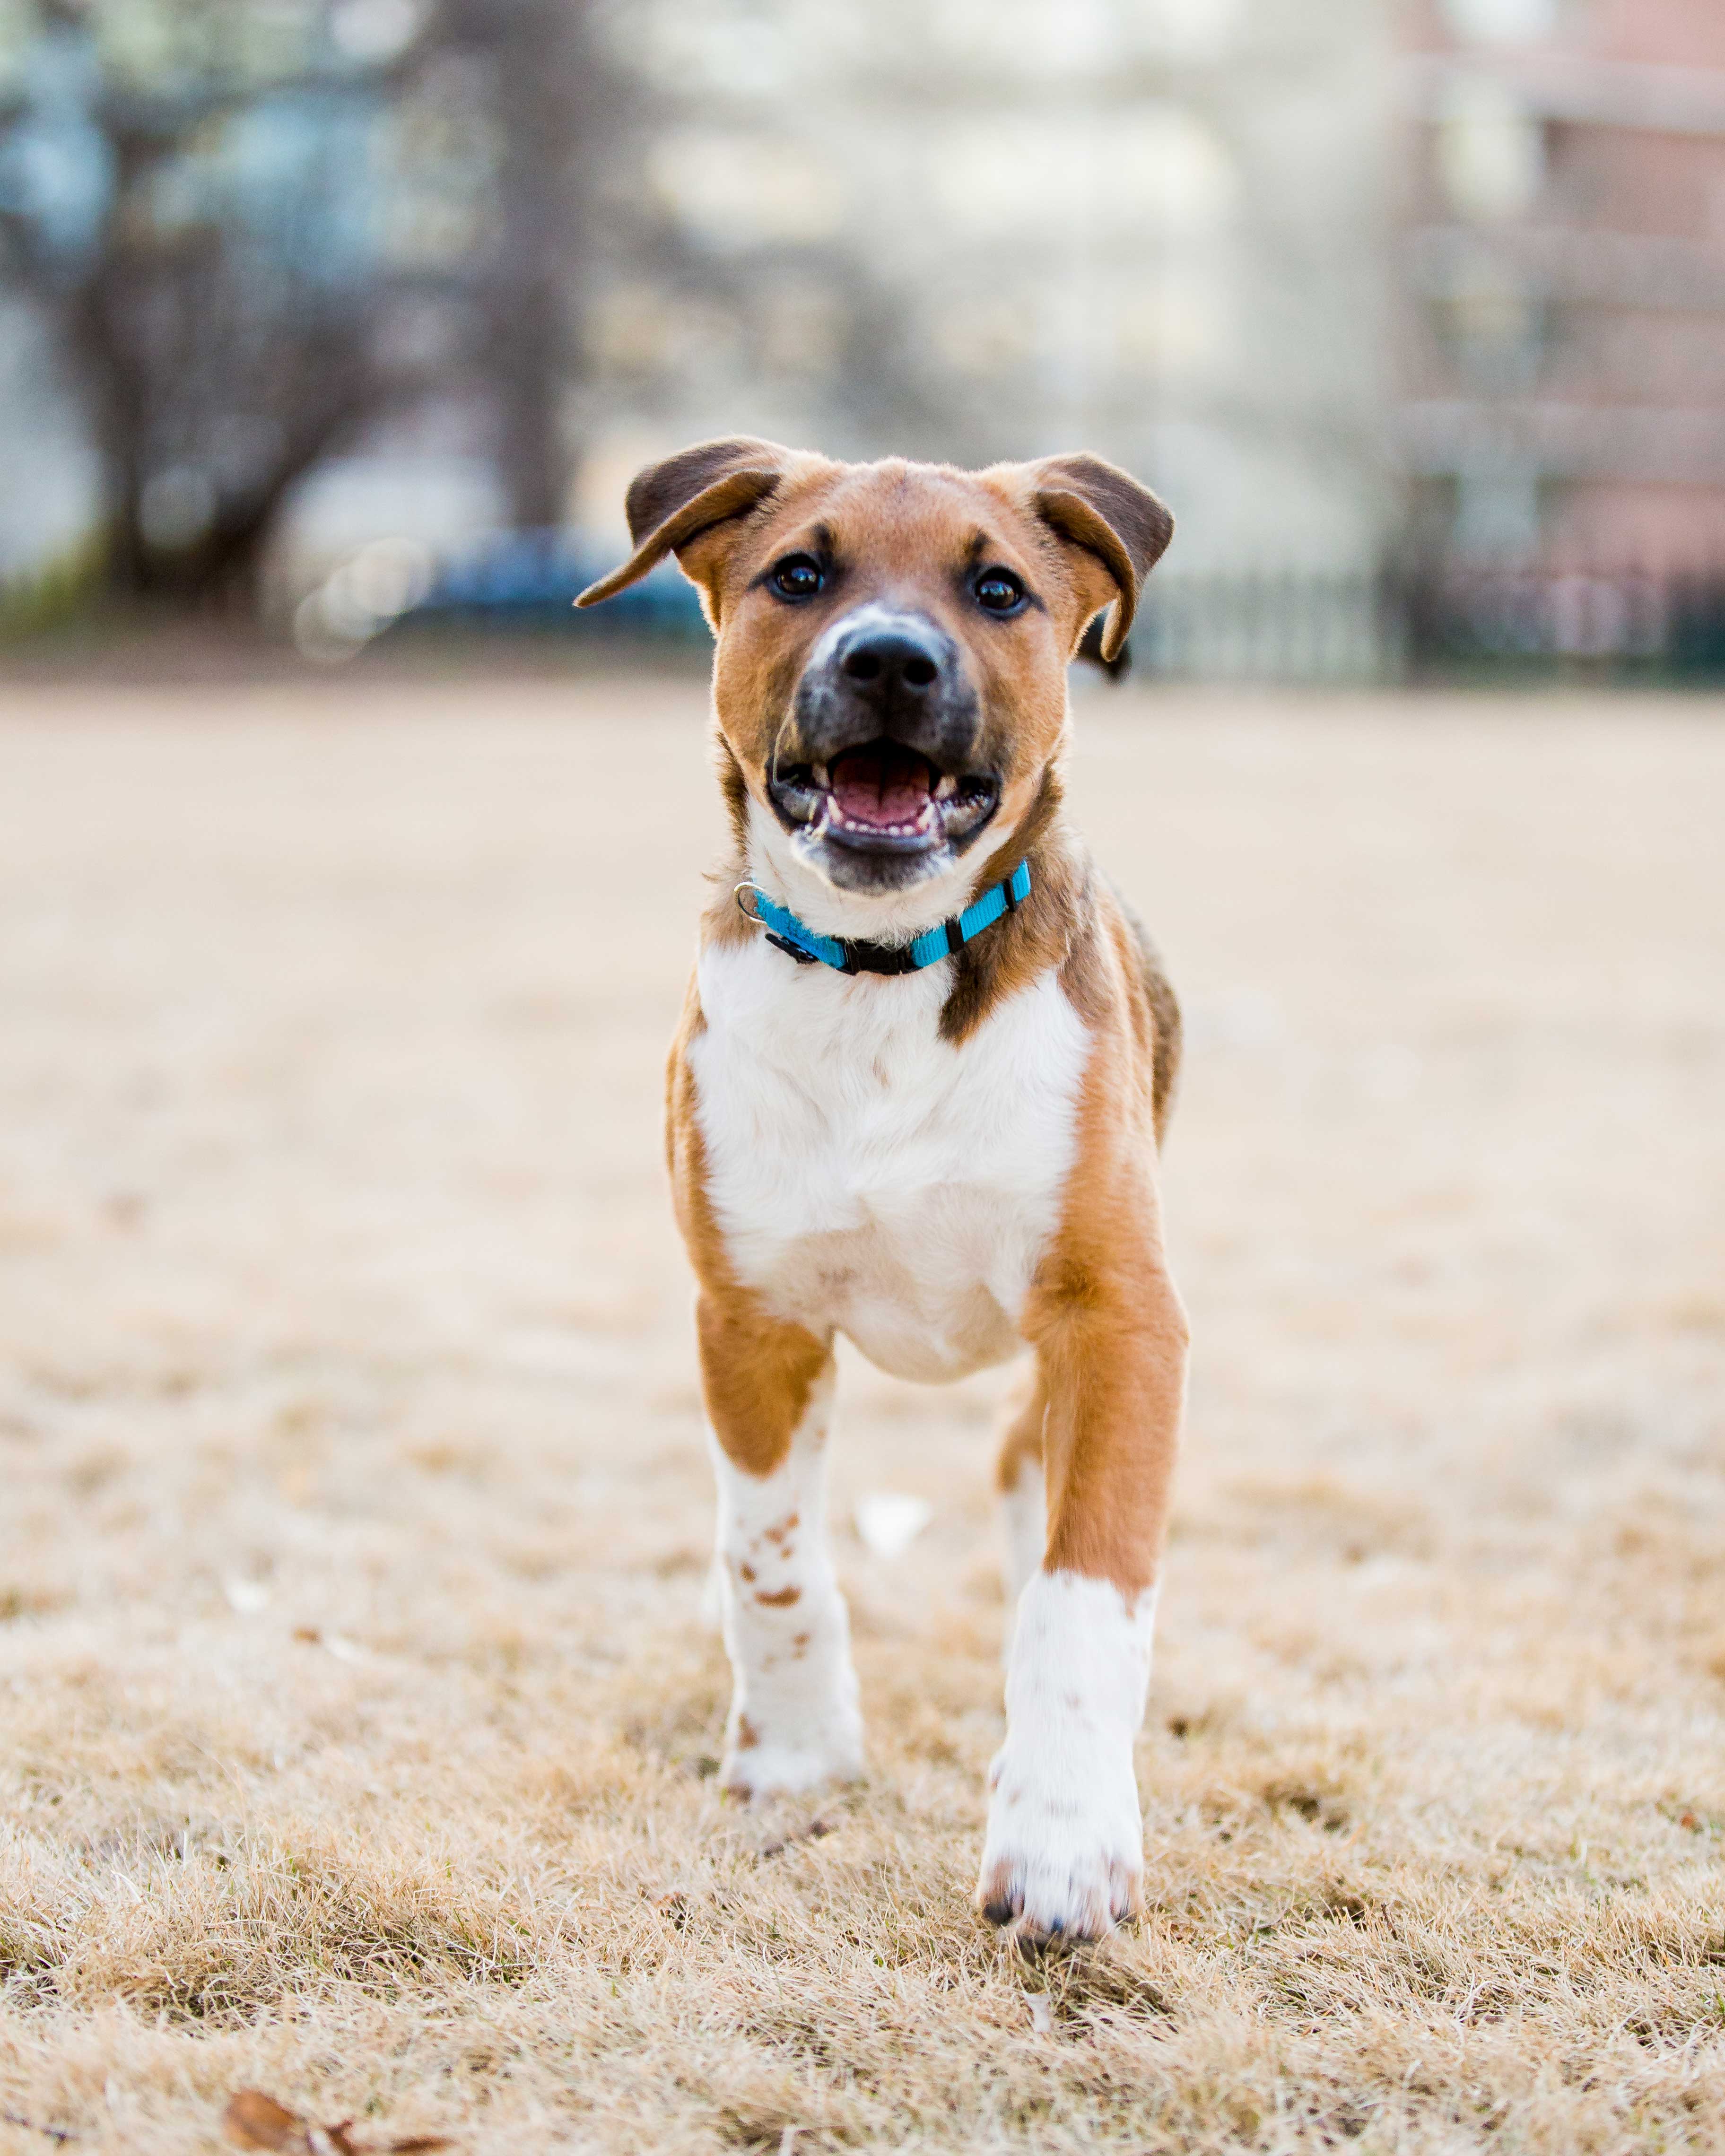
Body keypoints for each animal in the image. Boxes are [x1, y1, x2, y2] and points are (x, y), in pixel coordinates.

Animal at [578, 433, 1190, 1940]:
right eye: (800, 574)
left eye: (999, 589)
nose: (894, 663)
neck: (882, 976)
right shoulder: (751, 1320)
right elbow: (772, 1556)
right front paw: (799, 1756)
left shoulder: (1119, 1318)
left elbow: (1088, 1585)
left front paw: (1064, 1839)